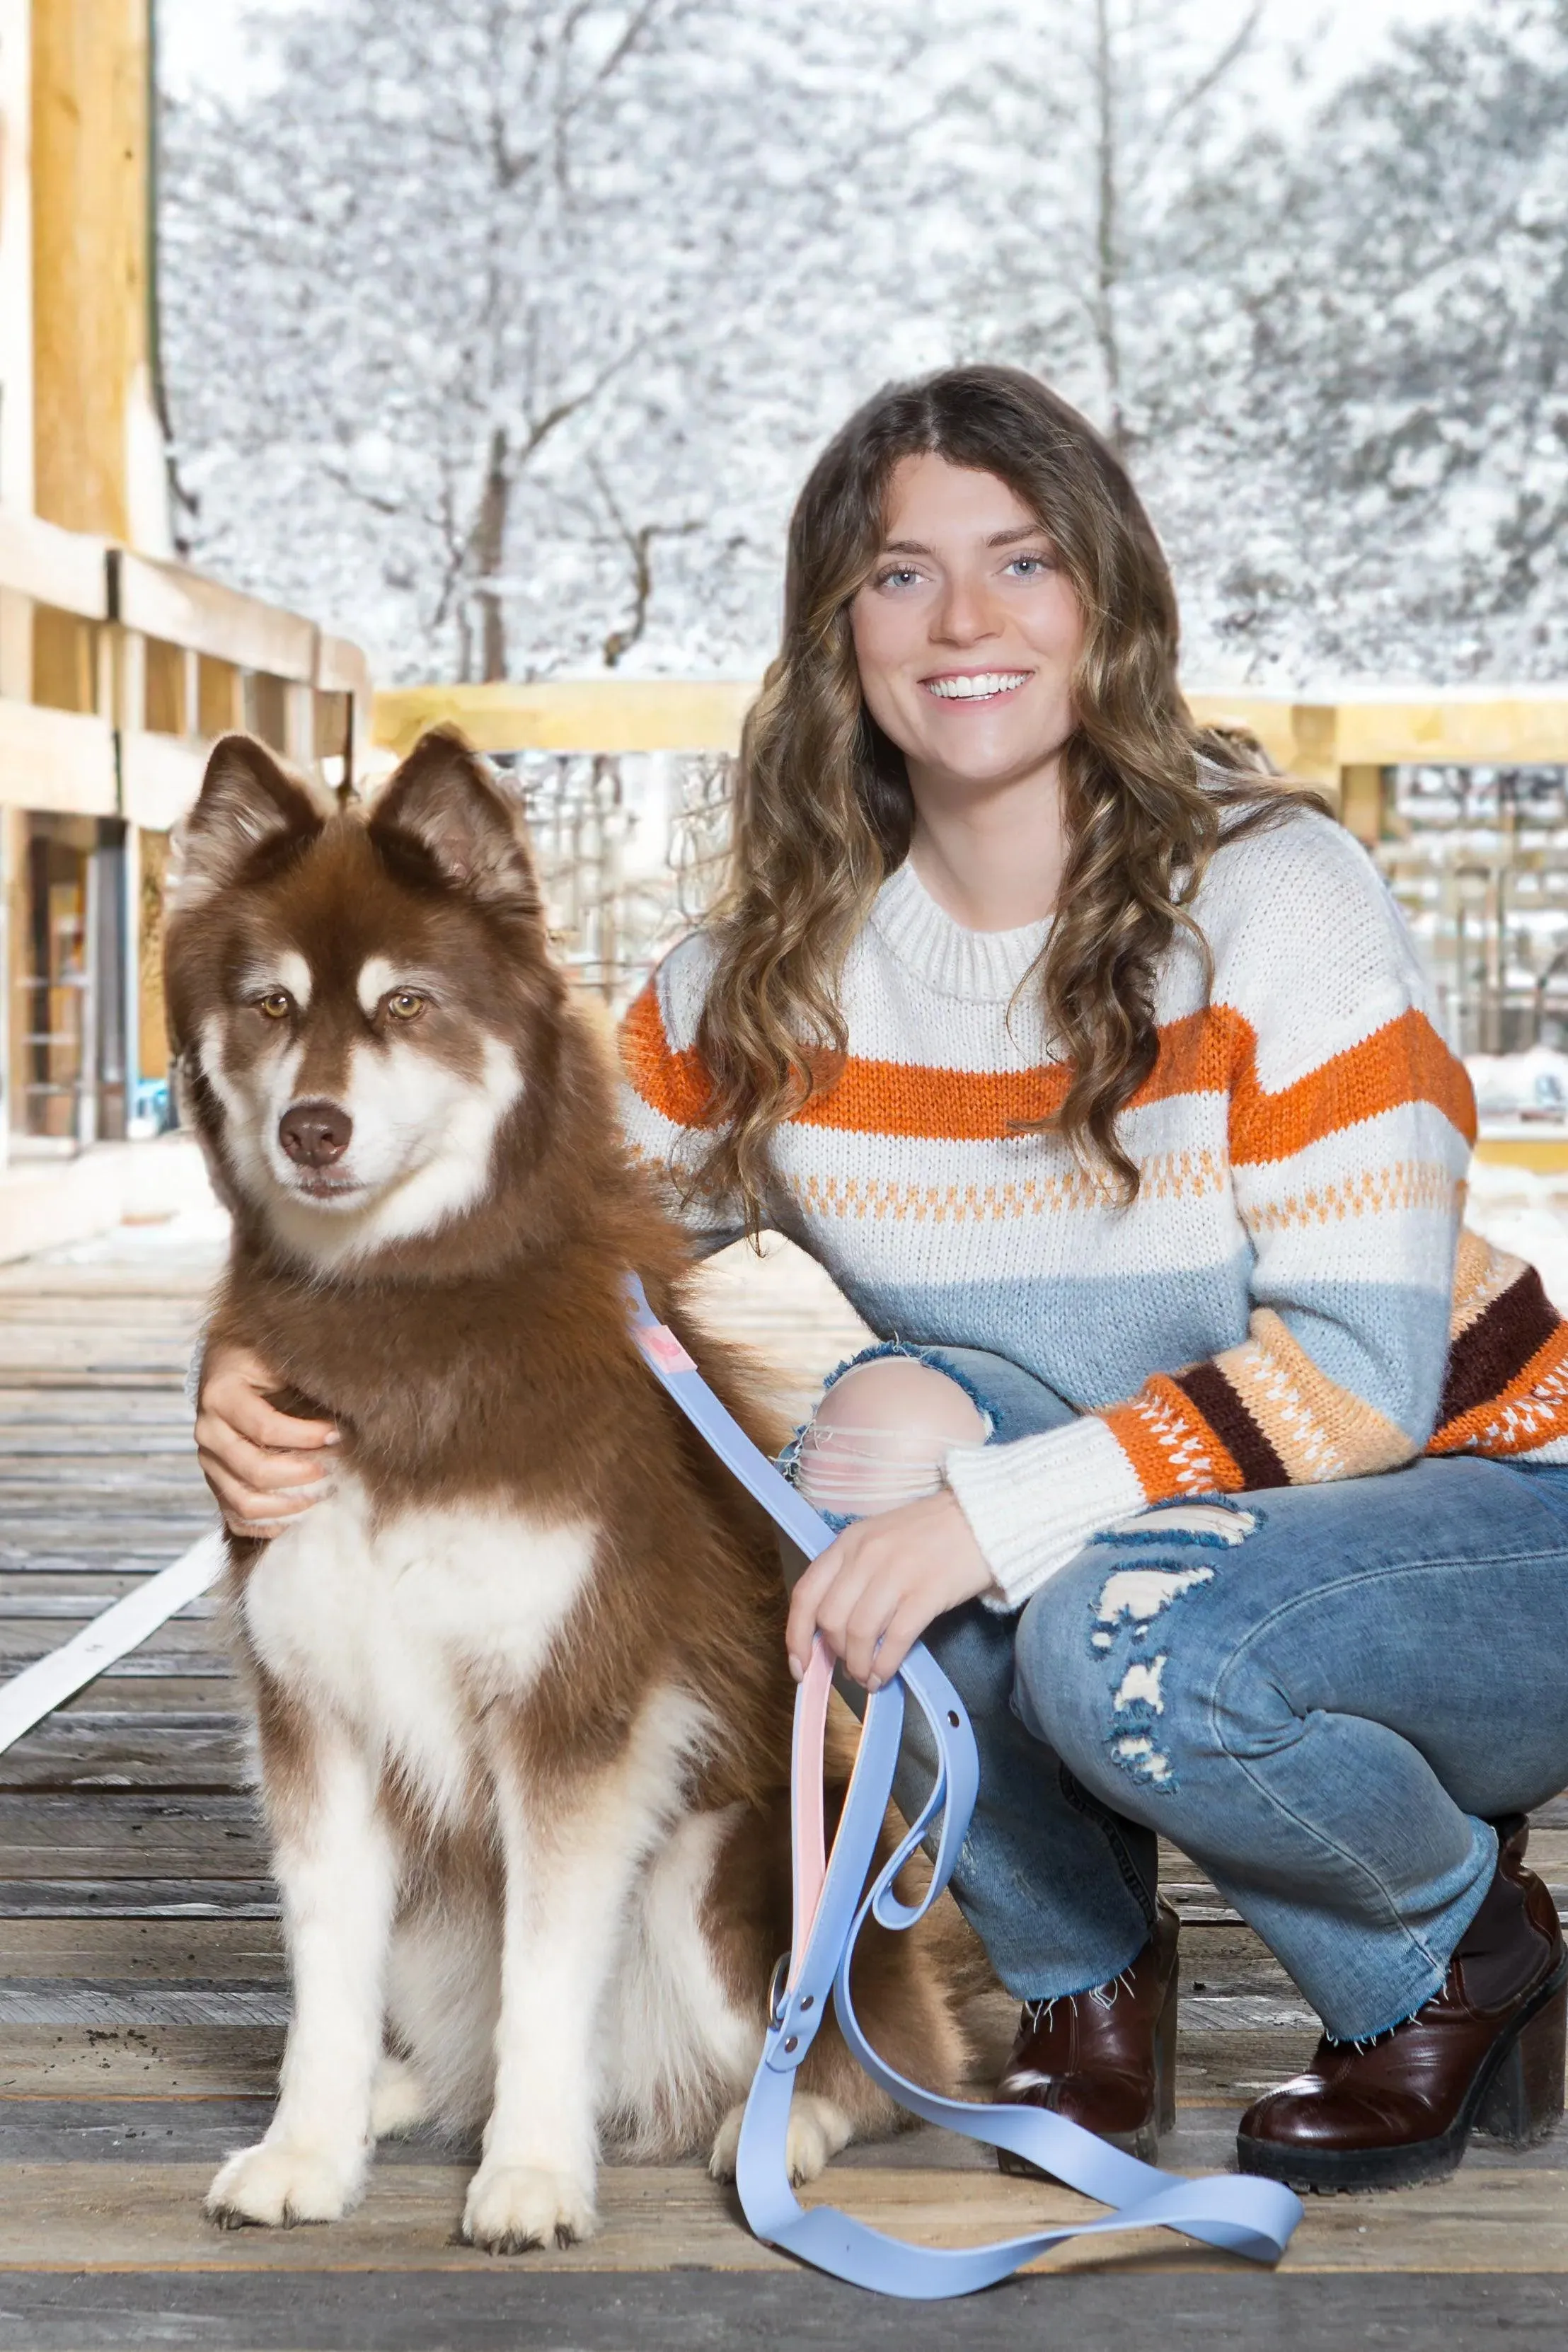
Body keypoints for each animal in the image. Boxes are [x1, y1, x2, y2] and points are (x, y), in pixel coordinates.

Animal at [166, 729, 964, 2239]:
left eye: (406, 1003)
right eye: (271, 1005)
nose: (311, 1127)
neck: (403, 1319)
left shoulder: (576, 1718)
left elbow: (546, 1983)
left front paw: (531, 2173)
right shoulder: (318, 1718)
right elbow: (322, 1983)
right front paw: (308, 2146)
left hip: (726, 1857)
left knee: (856, 2056)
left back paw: (776, 2132)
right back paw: (401, 2097)